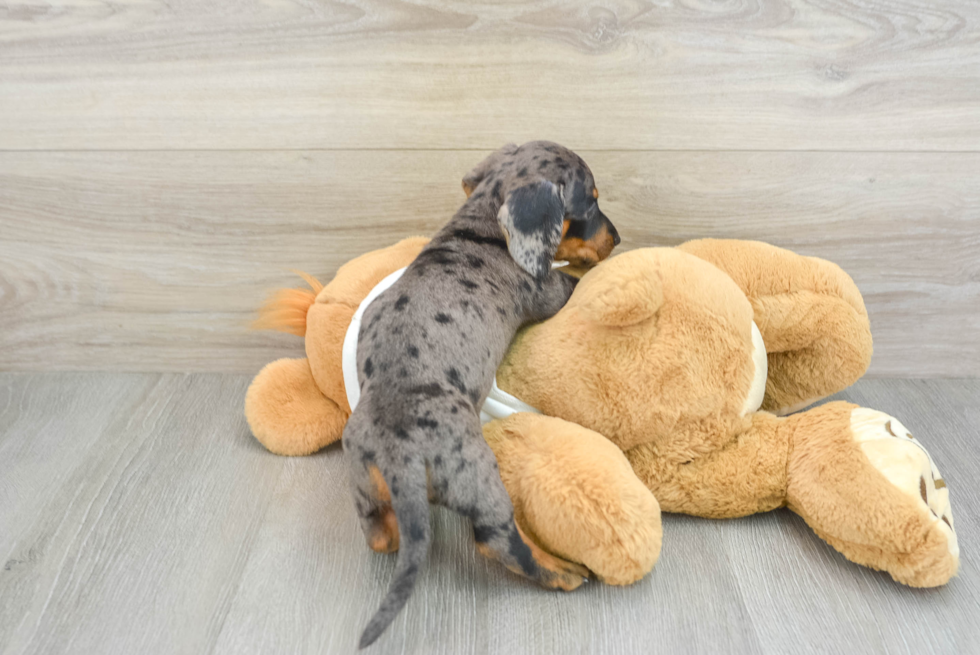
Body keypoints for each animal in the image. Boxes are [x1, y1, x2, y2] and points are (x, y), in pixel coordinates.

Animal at [346, 141, 620, 648]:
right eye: (589, 203)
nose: (618, 238)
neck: (478, 229)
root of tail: (397, 454)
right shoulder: (547, 290)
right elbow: (571, 282)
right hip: (477, 473)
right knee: (496, 540)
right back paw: (562, 571)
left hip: (364, 484)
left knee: (378, 534)